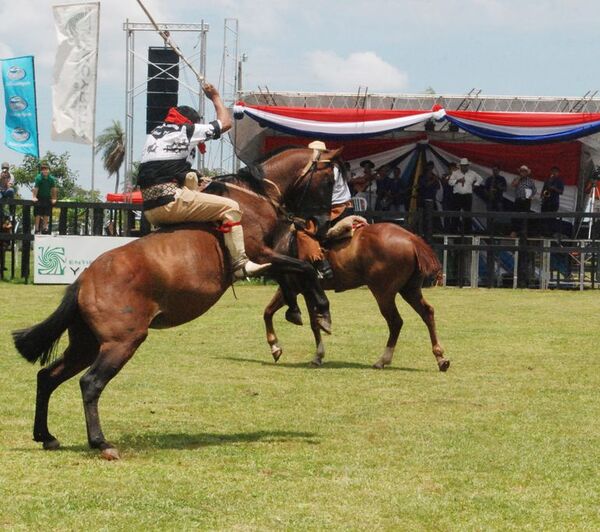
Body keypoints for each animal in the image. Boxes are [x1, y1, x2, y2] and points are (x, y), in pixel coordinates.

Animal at [11, 148, 342, 460]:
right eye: (329, 181)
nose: (324, 224)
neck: (251, 197)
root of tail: (83, 281)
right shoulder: (261, 255)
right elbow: (303, 268)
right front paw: (322, 310)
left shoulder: (269, 259)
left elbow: (291, 275)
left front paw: (296, 314)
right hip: (121, 343)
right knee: (90, 383)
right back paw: (101, 442)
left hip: (86, 345)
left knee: (47, 376)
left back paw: (46, 436)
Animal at [264, 222, 450, 372]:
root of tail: (411, 239)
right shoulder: (307, 291)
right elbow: (311, 321)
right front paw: (316, 355)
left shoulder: (296, 287)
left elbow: (270, 312)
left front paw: (276, 347)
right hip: (409, 290)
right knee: (427, 313)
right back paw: (441, 358)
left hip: (383, 293)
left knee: (395, 321)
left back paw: (383, 360)